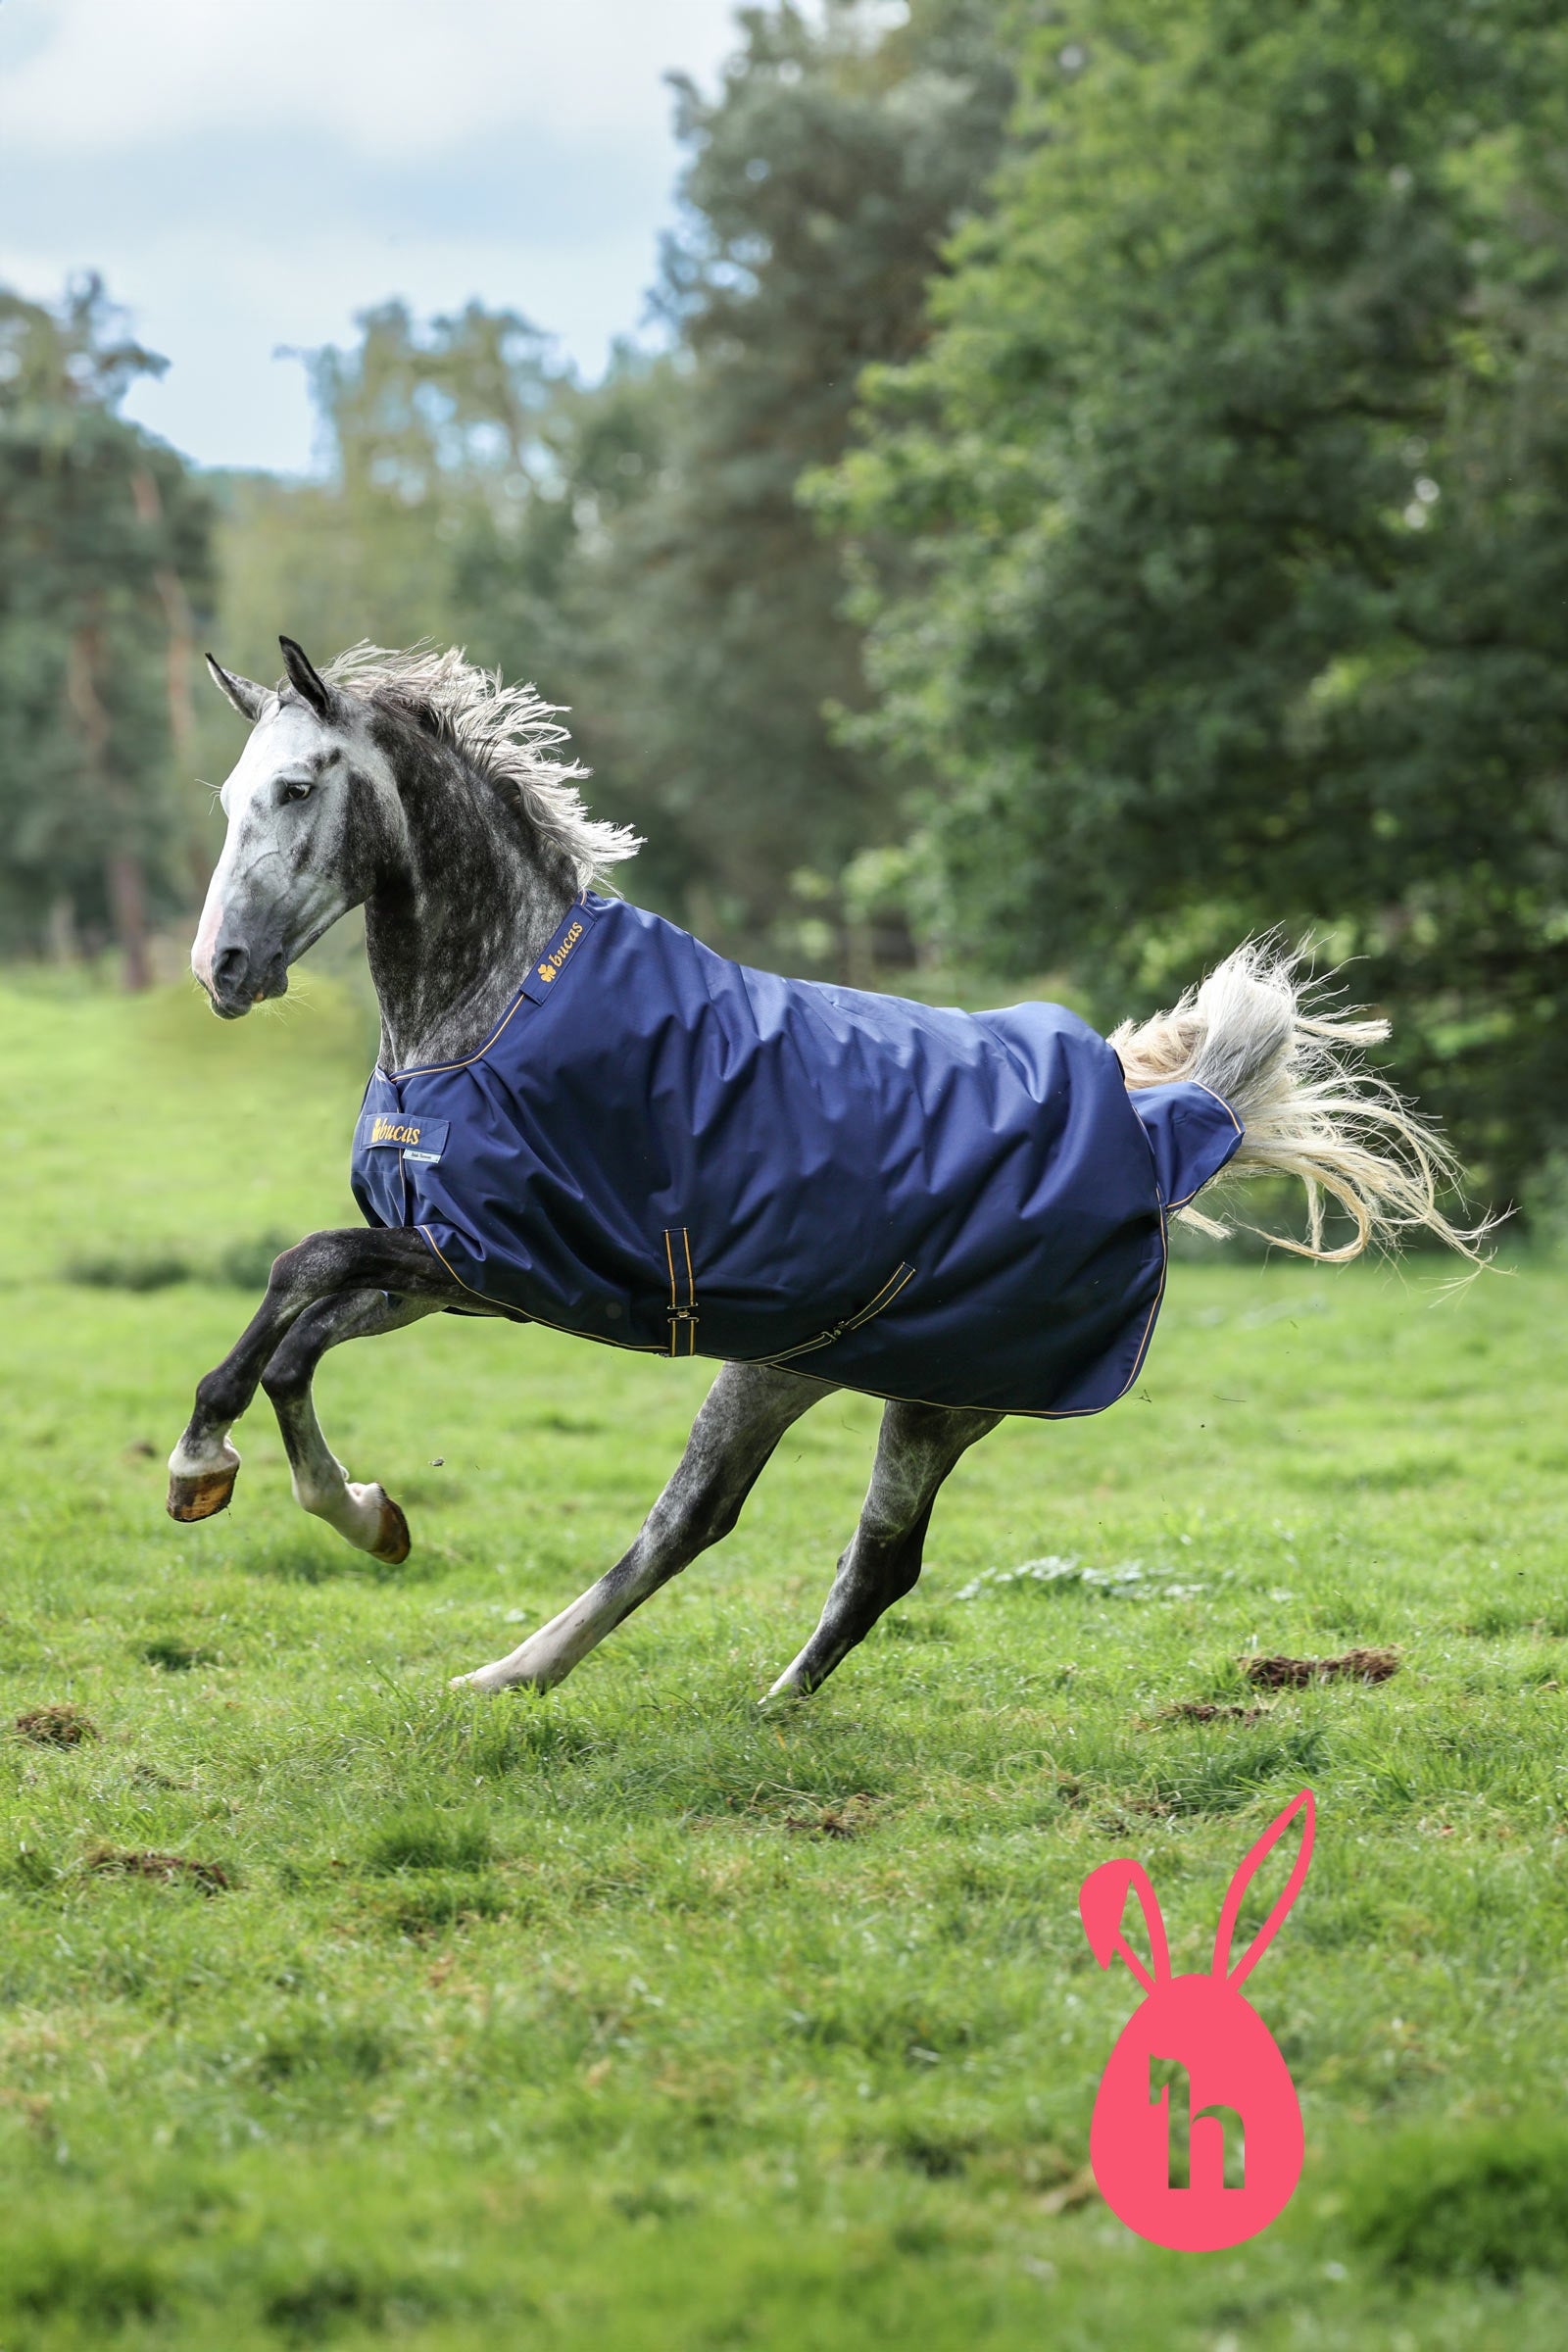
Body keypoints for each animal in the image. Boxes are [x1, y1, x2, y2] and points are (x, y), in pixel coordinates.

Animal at [167, 635, 1477, 1699]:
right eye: (228, 795)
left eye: (296, 788)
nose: (220, 971)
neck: (494, 1011)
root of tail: (1154, 1123)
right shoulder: (456, 1271)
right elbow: (294, 1336)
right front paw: (355, 1511)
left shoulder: (508, 1263)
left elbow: (301, 1270)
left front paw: (218, 1470)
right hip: (793, 1367)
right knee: (742, 1530)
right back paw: (572, 1681)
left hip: (933, 1397)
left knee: (818, 1547)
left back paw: (619, 1689)